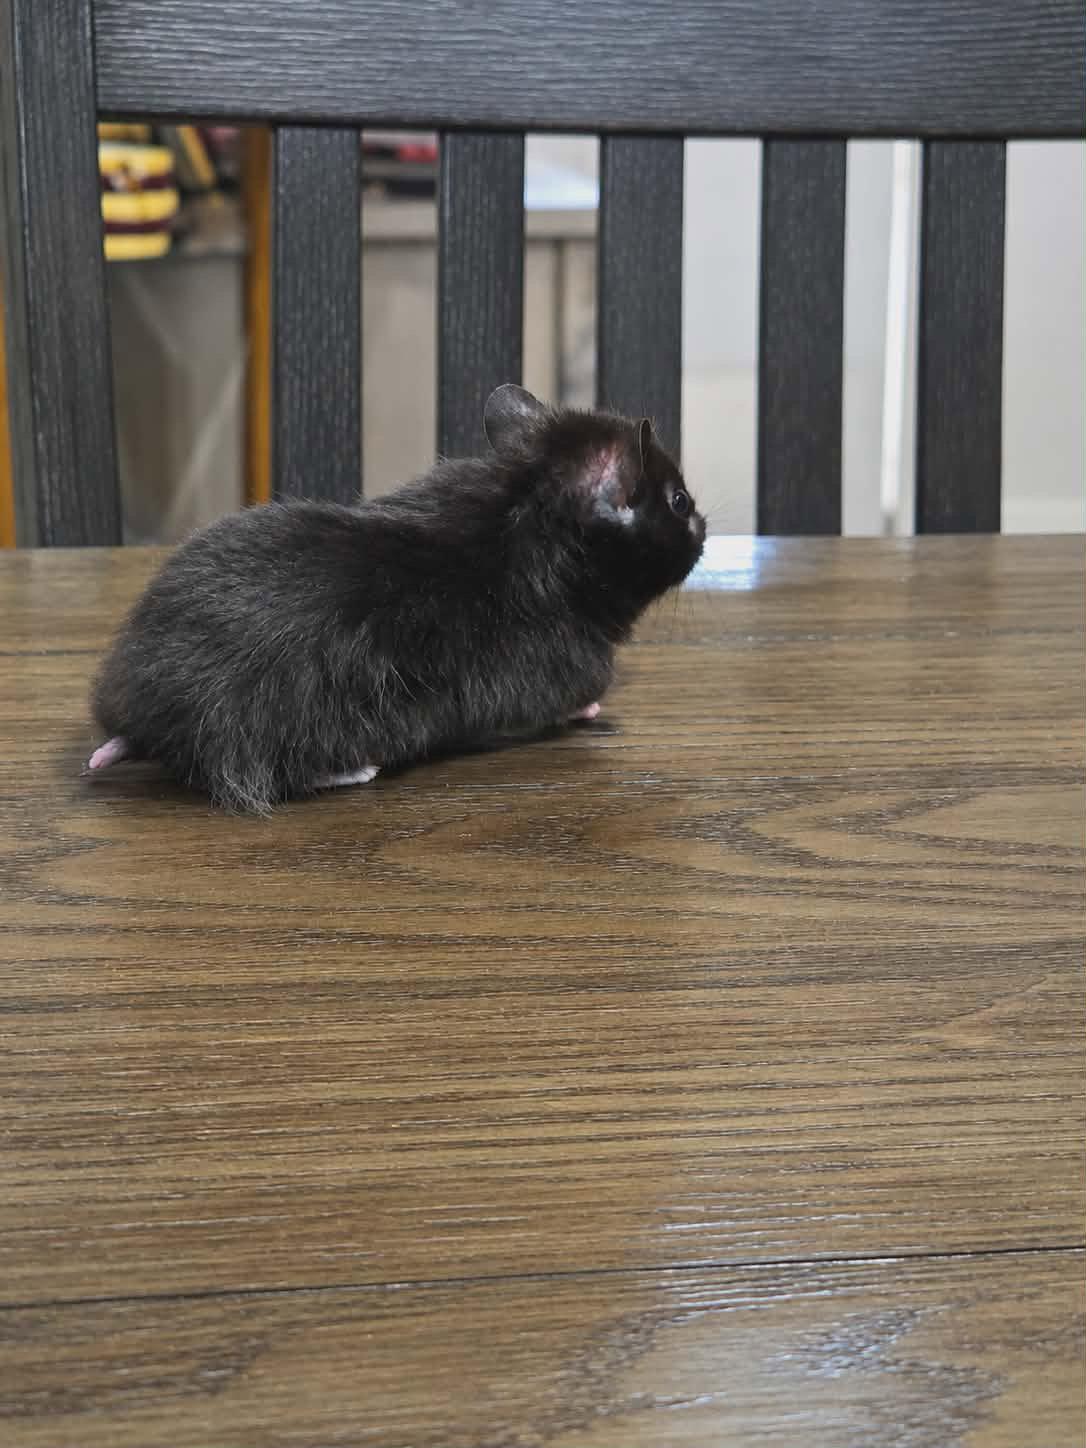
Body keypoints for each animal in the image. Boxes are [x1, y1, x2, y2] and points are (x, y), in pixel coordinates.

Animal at [87, 384, 705, 812]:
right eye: (678, 501)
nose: (704, 529)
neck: (529, 511)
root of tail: (150, 715)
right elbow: (569, 704)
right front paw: (594, 710)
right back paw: (360, 770)